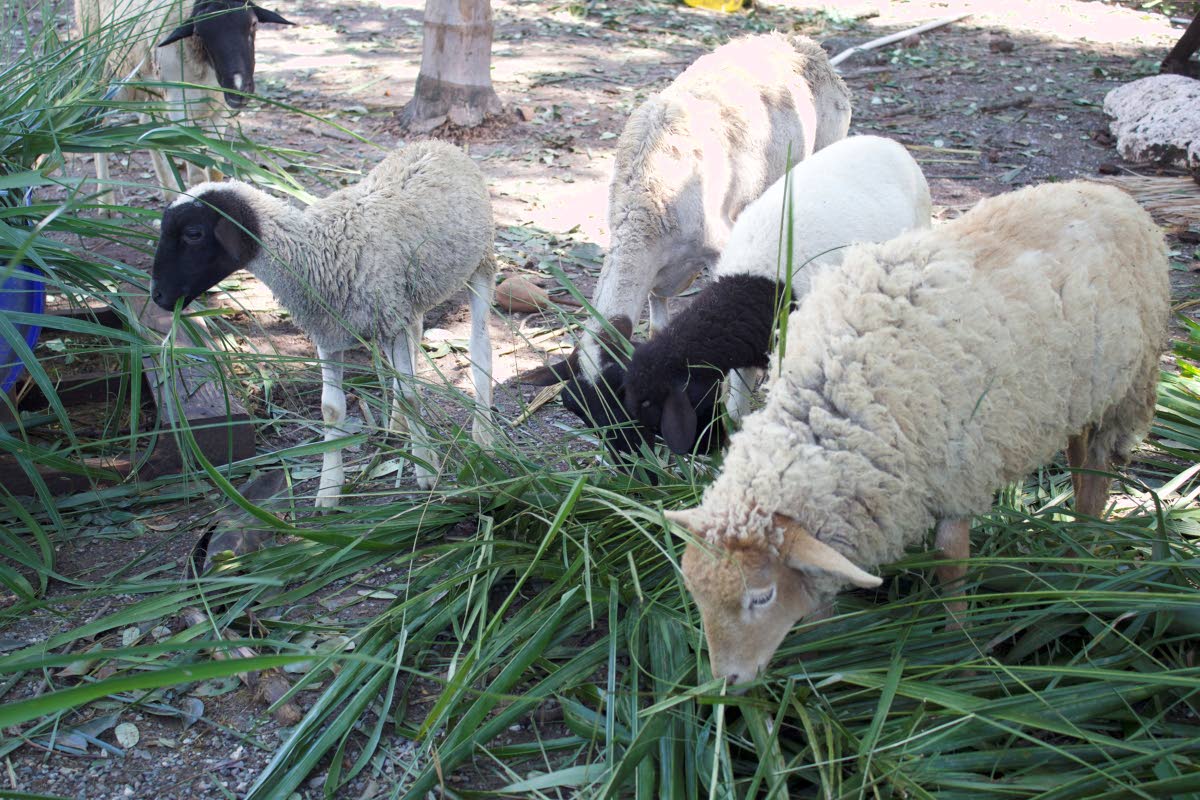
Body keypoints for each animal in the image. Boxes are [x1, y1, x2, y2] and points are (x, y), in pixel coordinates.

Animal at [75, 0, 292, 200]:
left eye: (254, 24)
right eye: (199, 32)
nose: (238, 89)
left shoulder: (219, 108)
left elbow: (215, 169)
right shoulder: (180, 105)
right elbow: (196, 174)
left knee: (149, 126)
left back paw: (168, 189)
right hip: (106, 70)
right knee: (98, 121)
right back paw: (104, 199)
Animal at [149, 140, 495, 505]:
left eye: (193, 234)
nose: (157, 296)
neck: (318, 249)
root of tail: (437, 144)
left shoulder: (387, 322)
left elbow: (413, 396)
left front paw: (426, 471)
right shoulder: (330, 330)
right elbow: (331, 408)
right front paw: (329, 490)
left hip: (481, 263)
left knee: (480, 350)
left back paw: (483, 435)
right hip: (406, 302)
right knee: (414, 341)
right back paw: (397, 424)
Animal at [664, 181, 1169, 685]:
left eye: (761, 596)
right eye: (694, 589)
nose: (722, 683)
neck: (838, 403)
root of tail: (1108, 192)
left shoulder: (960, 469)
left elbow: (950, 559)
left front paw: (958, 643)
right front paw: (820, 646)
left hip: (1127, 386)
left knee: (1097, 472)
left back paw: (1081, 548)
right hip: (1082, 394)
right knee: (1081, 454)